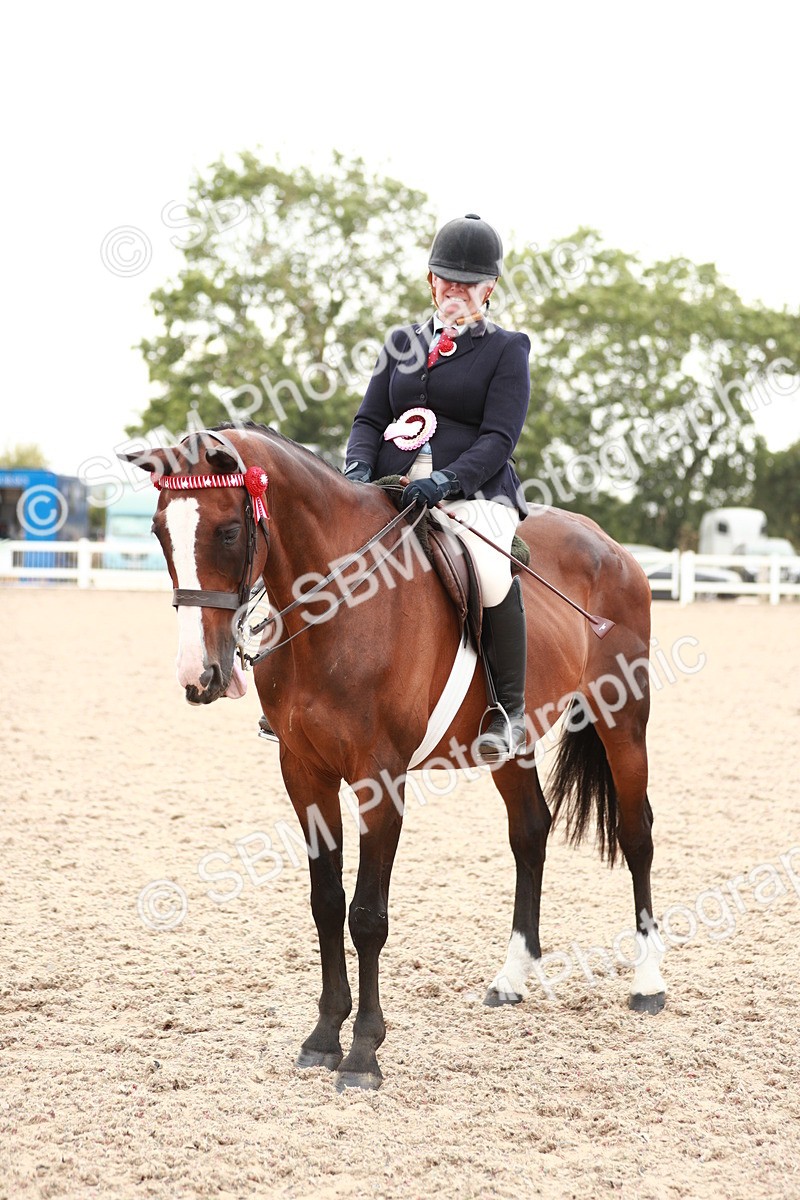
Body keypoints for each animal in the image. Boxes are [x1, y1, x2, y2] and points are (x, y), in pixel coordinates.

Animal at [122, 421, 666, 1091]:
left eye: (227, 530)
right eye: (158, 532)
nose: (200, 677)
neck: (336, 604)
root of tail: (610, 545)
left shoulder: (380, 778)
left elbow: (367, 916)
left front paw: (363, 1054)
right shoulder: (304, 773)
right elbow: (326, 904)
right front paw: (323, 1036)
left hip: (625, 716)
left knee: (636, 832)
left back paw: (648, 983)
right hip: (510, 747)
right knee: (530, 832)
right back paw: (512, 979)